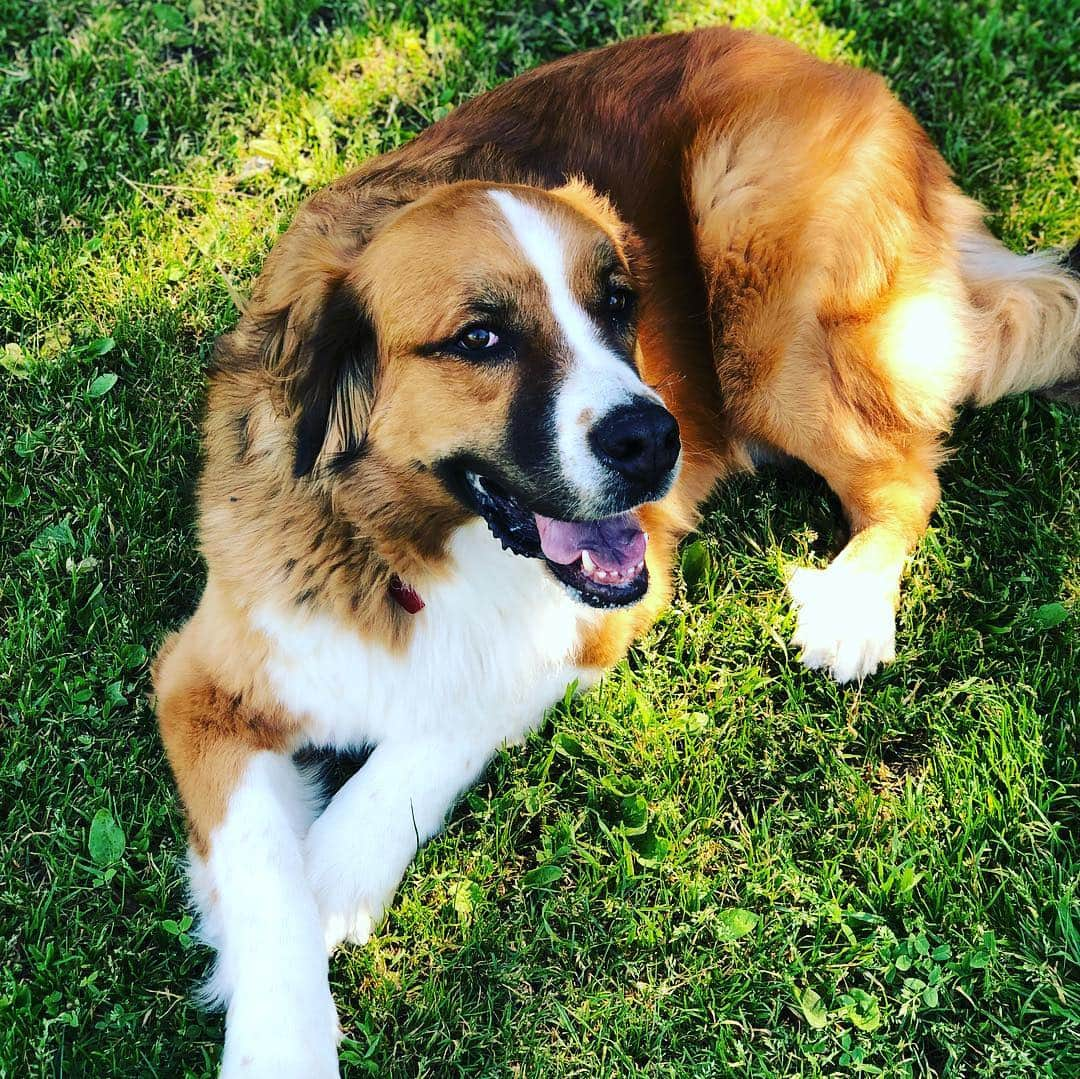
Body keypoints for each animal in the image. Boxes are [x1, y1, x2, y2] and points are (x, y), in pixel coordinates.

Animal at [154, 27, 1080, 1079]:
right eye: (481, 338)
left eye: (619, 305)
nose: (655, 440)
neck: (404, 551)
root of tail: (848, 75)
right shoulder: (203, 679)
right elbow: (264, 878)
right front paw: (271, 1000)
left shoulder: (608, 607)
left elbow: (444, 722)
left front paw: (339, 868)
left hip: (760, 290)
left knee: (906, 477)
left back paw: (852, 608)